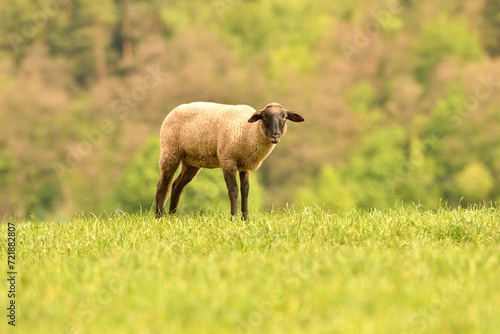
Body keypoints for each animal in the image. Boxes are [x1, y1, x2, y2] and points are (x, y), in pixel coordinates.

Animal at [154, 103, 304, 220]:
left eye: (284, 117)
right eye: (264, 117)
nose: (275, 136)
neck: (249, 131)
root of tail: (174, 110)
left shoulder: (245, 166)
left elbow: (245, 191)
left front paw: (246, 219)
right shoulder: (228, 160)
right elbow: (233, 190)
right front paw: (233, 219)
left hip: (191, 161)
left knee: (177, 185)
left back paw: (172, 217)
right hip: (170, 150)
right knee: (163, 185)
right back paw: (159, 218)